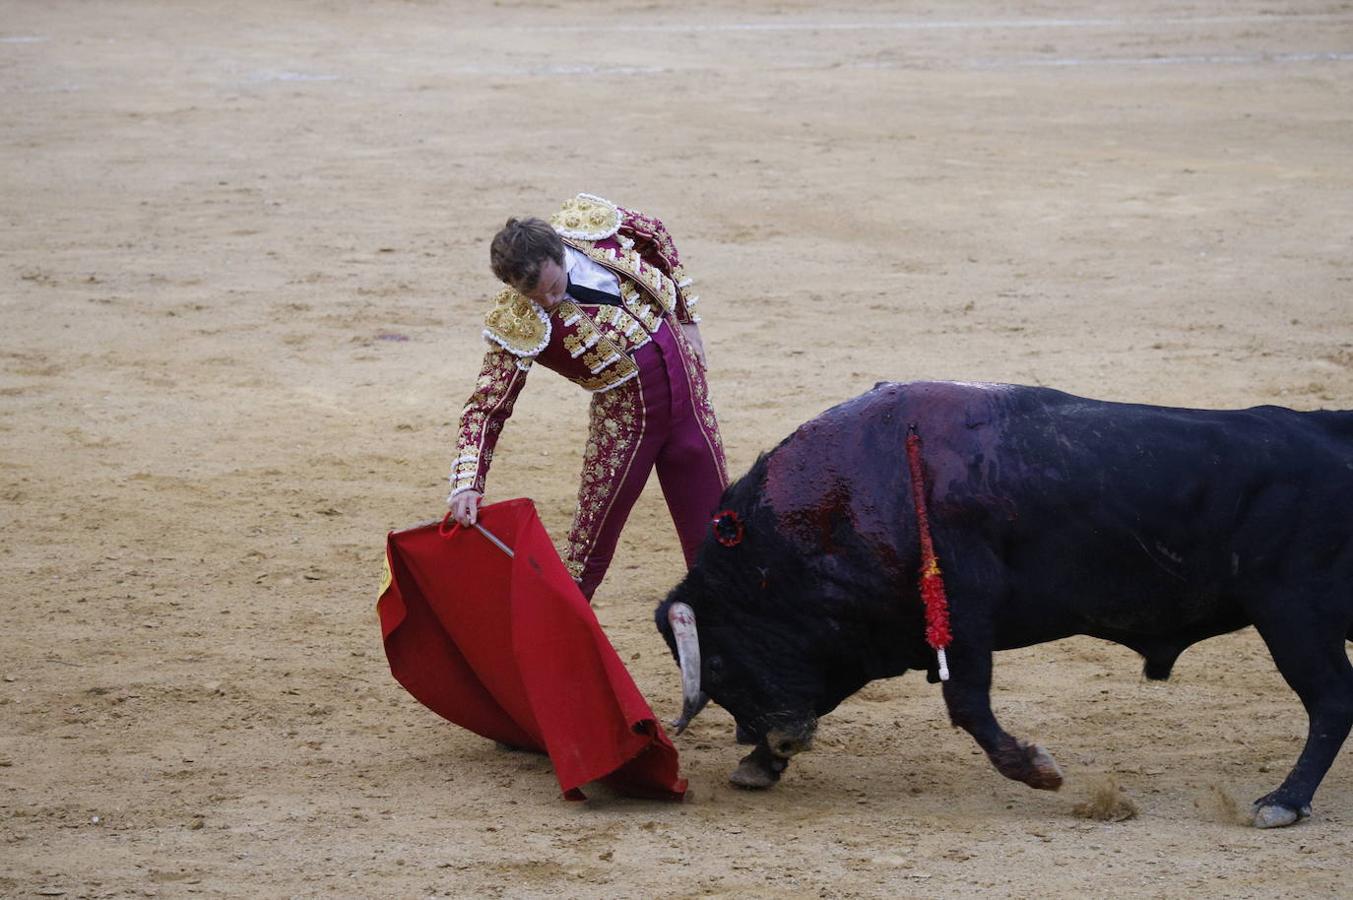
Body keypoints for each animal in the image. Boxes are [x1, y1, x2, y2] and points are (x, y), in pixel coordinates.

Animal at [654, 376, 1353, 822]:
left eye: (720, 662)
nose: (776, 740)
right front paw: (758, 765)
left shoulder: (965, 613)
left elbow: (968, 705)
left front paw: (1039, 769)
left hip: (1295, 616)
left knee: (1331, 700)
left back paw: (1283, 802)